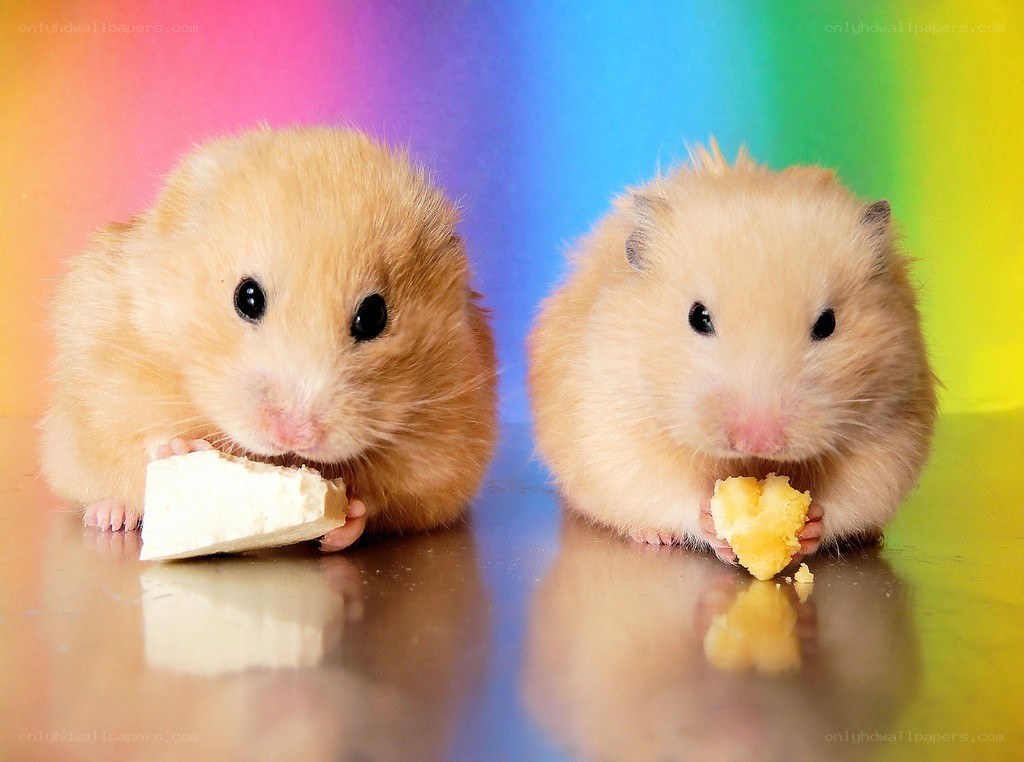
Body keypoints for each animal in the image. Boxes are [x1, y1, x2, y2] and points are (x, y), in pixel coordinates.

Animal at [40, 126, 498, 552]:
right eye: (247, 297)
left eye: (373, 316)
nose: (293, 435)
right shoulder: (105, 381)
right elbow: (133, 441)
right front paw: (178, 448)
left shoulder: (446, 442)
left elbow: (384, 499)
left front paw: (344, 518)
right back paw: (110, 516)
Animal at [527, 141, 937, 562]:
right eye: (698, 317)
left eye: (827, 324)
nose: (759, 440)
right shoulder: (615, 420)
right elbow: (664, 490)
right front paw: (712, 522)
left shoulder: (891, 427)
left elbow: (851, 498)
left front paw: (809, 524)